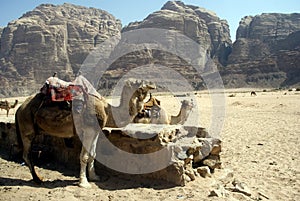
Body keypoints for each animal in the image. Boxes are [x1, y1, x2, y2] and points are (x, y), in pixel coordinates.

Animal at [14, 76, 155, 188]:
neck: (107, 110)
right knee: (26, 155)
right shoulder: (88, 129)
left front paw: (94, 177)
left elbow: (93, 154)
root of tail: (19, 108)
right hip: (26, 128)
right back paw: (37, 179)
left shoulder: (96, 130)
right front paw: (84, 183)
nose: (152, 84)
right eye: (140, 82)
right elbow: (84, 156)